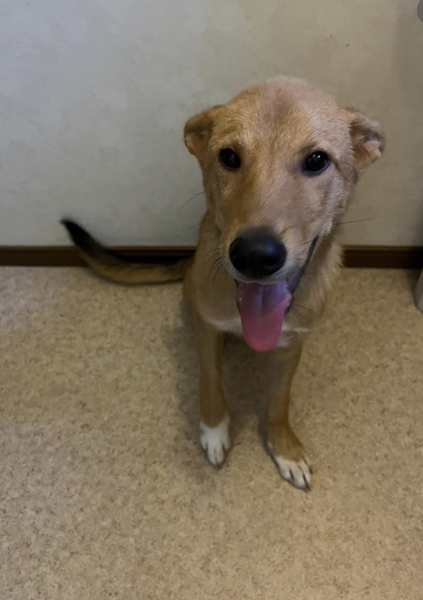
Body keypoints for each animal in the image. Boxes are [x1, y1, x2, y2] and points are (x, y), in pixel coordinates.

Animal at [63, 76, 385, 490]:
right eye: (229, 157)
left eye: (317, 160)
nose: (254, 255)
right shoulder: (208, 327)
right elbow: (211, 382)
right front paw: (214, 431)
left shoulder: (293, 345)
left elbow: (279, 402)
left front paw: (284, 448)